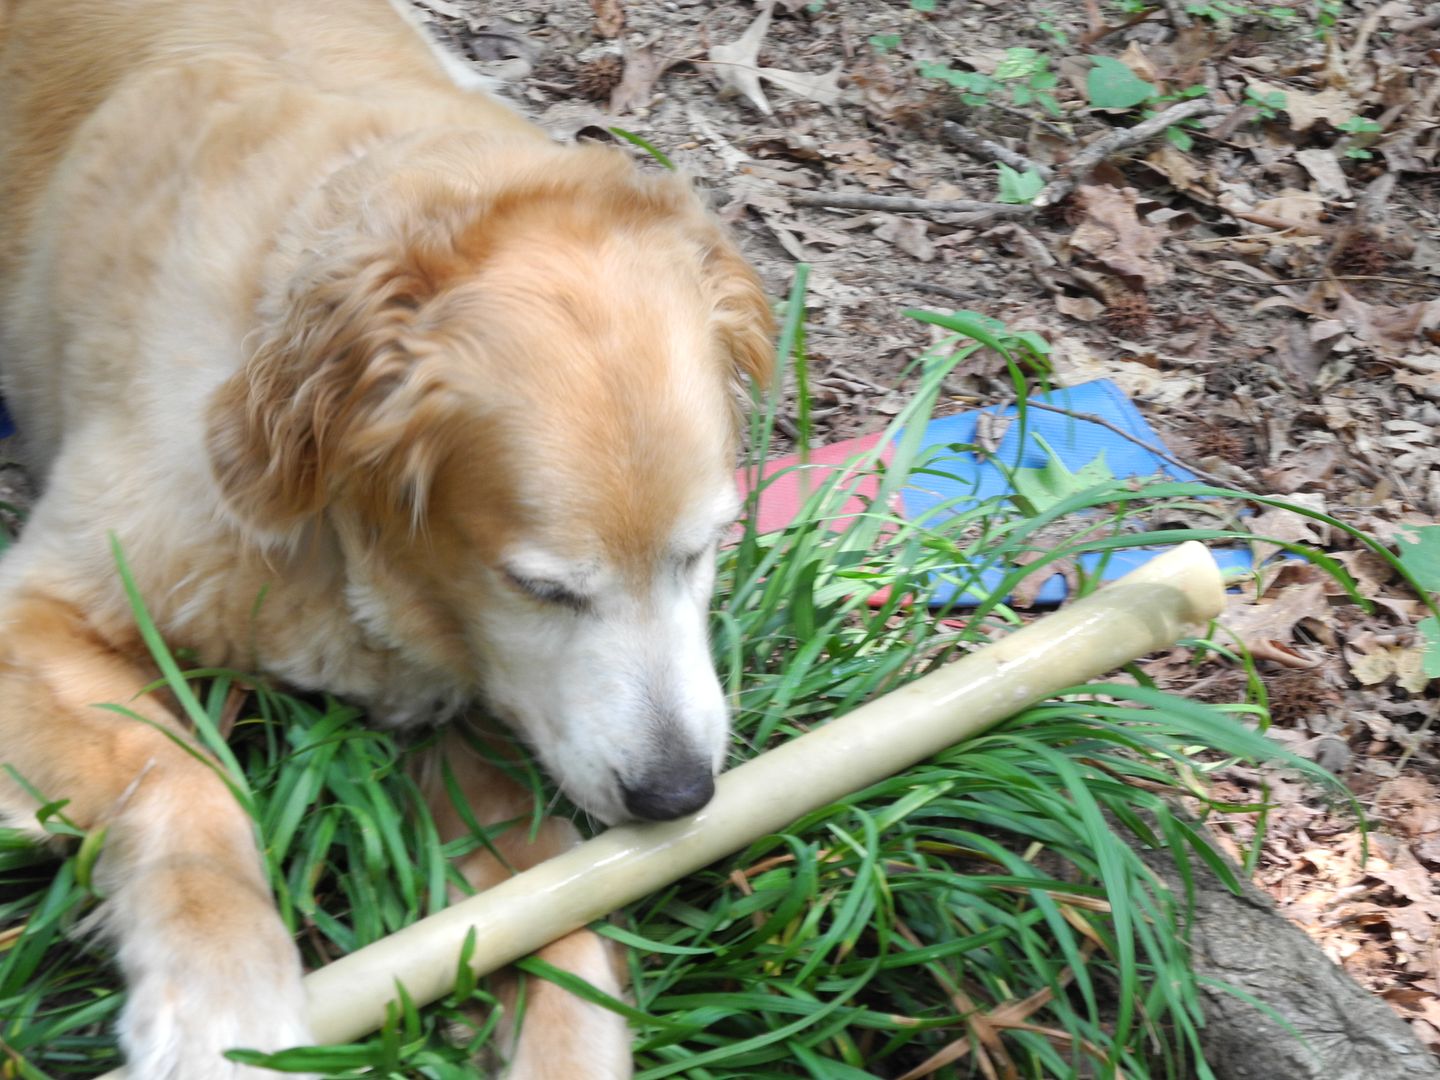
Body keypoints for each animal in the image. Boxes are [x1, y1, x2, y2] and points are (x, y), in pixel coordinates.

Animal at [0, 4, 777, 1077]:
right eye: (540, 588)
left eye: (704, 549)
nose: (679, 794)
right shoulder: (38, 610)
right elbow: (176, 772)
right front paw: (223, 992)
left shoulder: (480, 722)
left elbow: (546, 909)